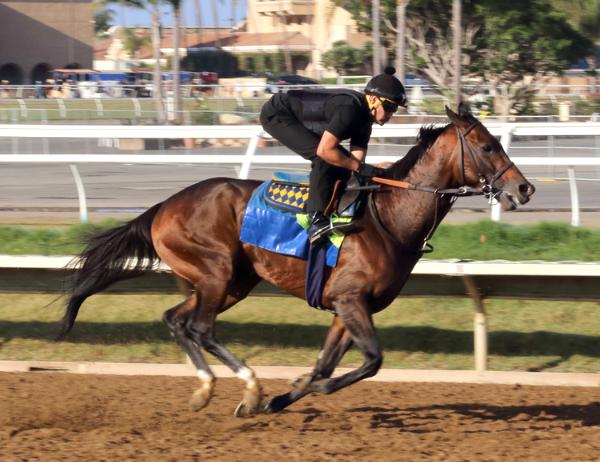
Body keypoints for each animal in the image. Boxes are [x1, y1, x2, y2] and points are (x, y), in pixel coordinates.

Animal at [57, 104, 536, 416]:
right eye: (488, 146)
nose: (525, 188)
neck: (387, 217)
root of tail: (162, 206)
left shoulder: (346, 306)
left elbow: (330, 361)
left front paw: (286, 395)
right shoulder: (350, 300)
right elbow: (372, 361)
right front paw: (305, 388)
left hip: (232, 282)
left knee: (176, 319)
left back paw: (207, 389)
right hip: (216, 272)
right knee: (199, 327)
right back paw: (248, 388)